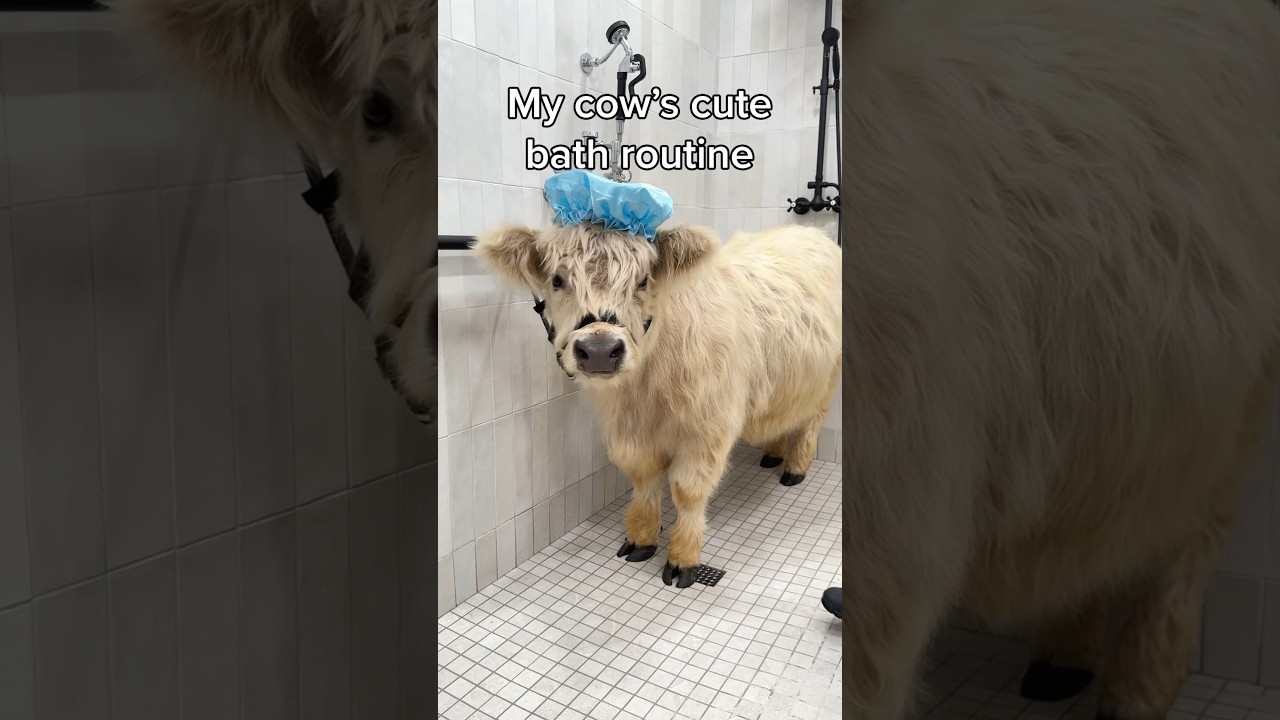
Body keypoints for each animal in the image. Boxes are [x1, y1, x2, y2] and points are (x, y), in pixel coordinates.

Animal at [474, 222, 842, 588]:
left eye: (643, 280)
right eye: (557, 279)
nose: (599, 349)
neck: (645, 390)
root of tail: (809, 231)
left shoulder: (707, 431)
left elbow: (688, 491)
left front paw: (683, 557)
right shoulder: (628, 431)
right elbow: (644, 479)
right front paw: (642, 537)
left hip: (827, 381)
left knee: (811, 422)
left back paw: (794, 469)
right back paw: (773, 454)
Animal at [841, 0, 1280, 718]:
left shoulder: (887, 556)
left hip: (1230, 424)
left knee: (1182, 564)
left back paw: (1131, 697)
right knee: (1098, 540)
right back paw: (1062, 660)